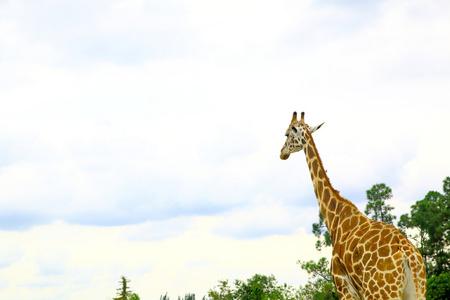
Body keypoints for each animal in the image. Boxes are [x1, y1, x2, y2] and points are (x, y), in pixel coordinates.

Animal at [280, 111, 428, 298]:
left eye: (286, 134)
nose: (282, 153)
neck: (334, 218)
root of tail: (410, 257)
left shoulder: (342, 285)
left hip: (381, 292)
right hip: (417, 290)